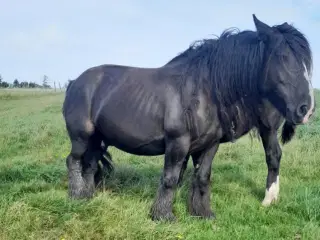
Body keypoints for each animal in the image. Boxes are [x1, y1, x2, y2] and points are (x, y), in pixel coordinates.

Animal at [62, 14, 316, 221]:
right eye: (282, 57)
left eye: (306, 63)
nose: (307, 109)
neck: (203, 90)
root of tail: (75, 82)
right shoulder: (178, 143)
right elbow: (171, 178)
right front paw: (163, 215)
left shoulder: (210, 144)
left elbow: (202, 176)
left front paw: (202, 213)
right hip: (81, 136)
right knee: (73, 160)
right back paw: (76, 195)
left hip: (97, 138)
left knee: (90, 164)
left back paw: (87, 195)